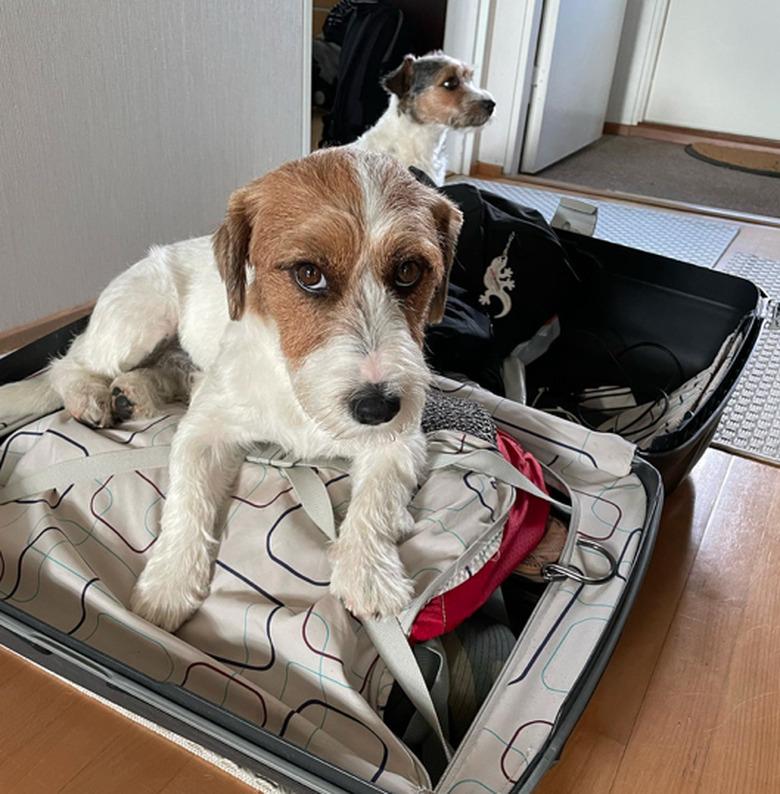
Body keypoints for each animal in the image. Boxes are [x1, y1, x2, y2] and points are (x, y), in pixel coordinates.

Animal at [0, 148, 464, 628]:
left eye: (408, 270)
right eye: (309, 273)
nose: (377, 408)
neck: (294, 388)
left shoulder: (399, 442)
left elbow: (377, 499)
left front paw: (369, 571)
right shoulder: (203, 431)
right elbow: (188, 501)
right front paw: (168, 583)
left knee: (169, 368)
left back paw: (131, 393)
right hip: (140, 321)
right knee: (68, 363)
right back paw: (89, 395)